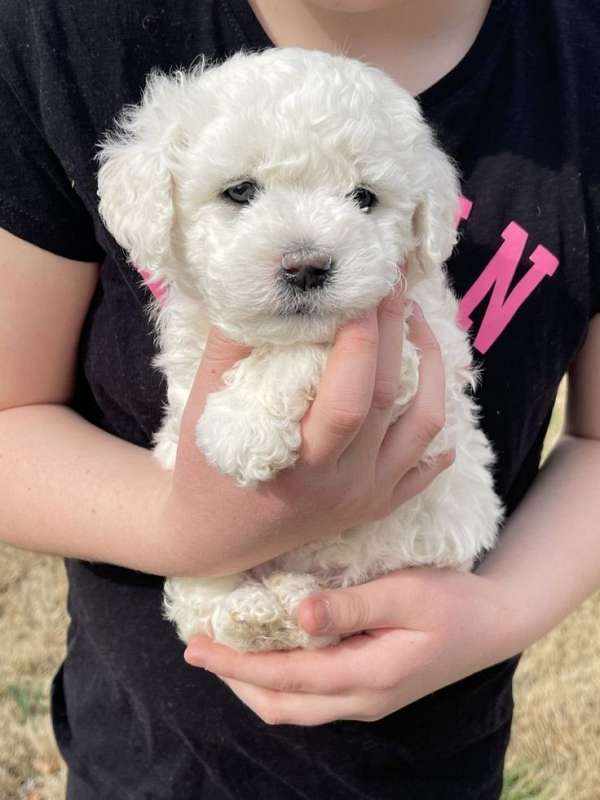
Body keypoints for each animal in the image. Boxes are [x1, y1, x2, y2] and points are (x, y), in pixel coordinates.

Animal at [97, 48, 502, 648]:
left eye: (364, 198)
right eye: (240, 191)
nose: (307, 266)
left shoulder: (412, 359)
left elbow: (310, 349)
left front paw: (240, 426)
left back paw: (285, 608)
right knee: (204, 601)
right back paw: (254, 614)